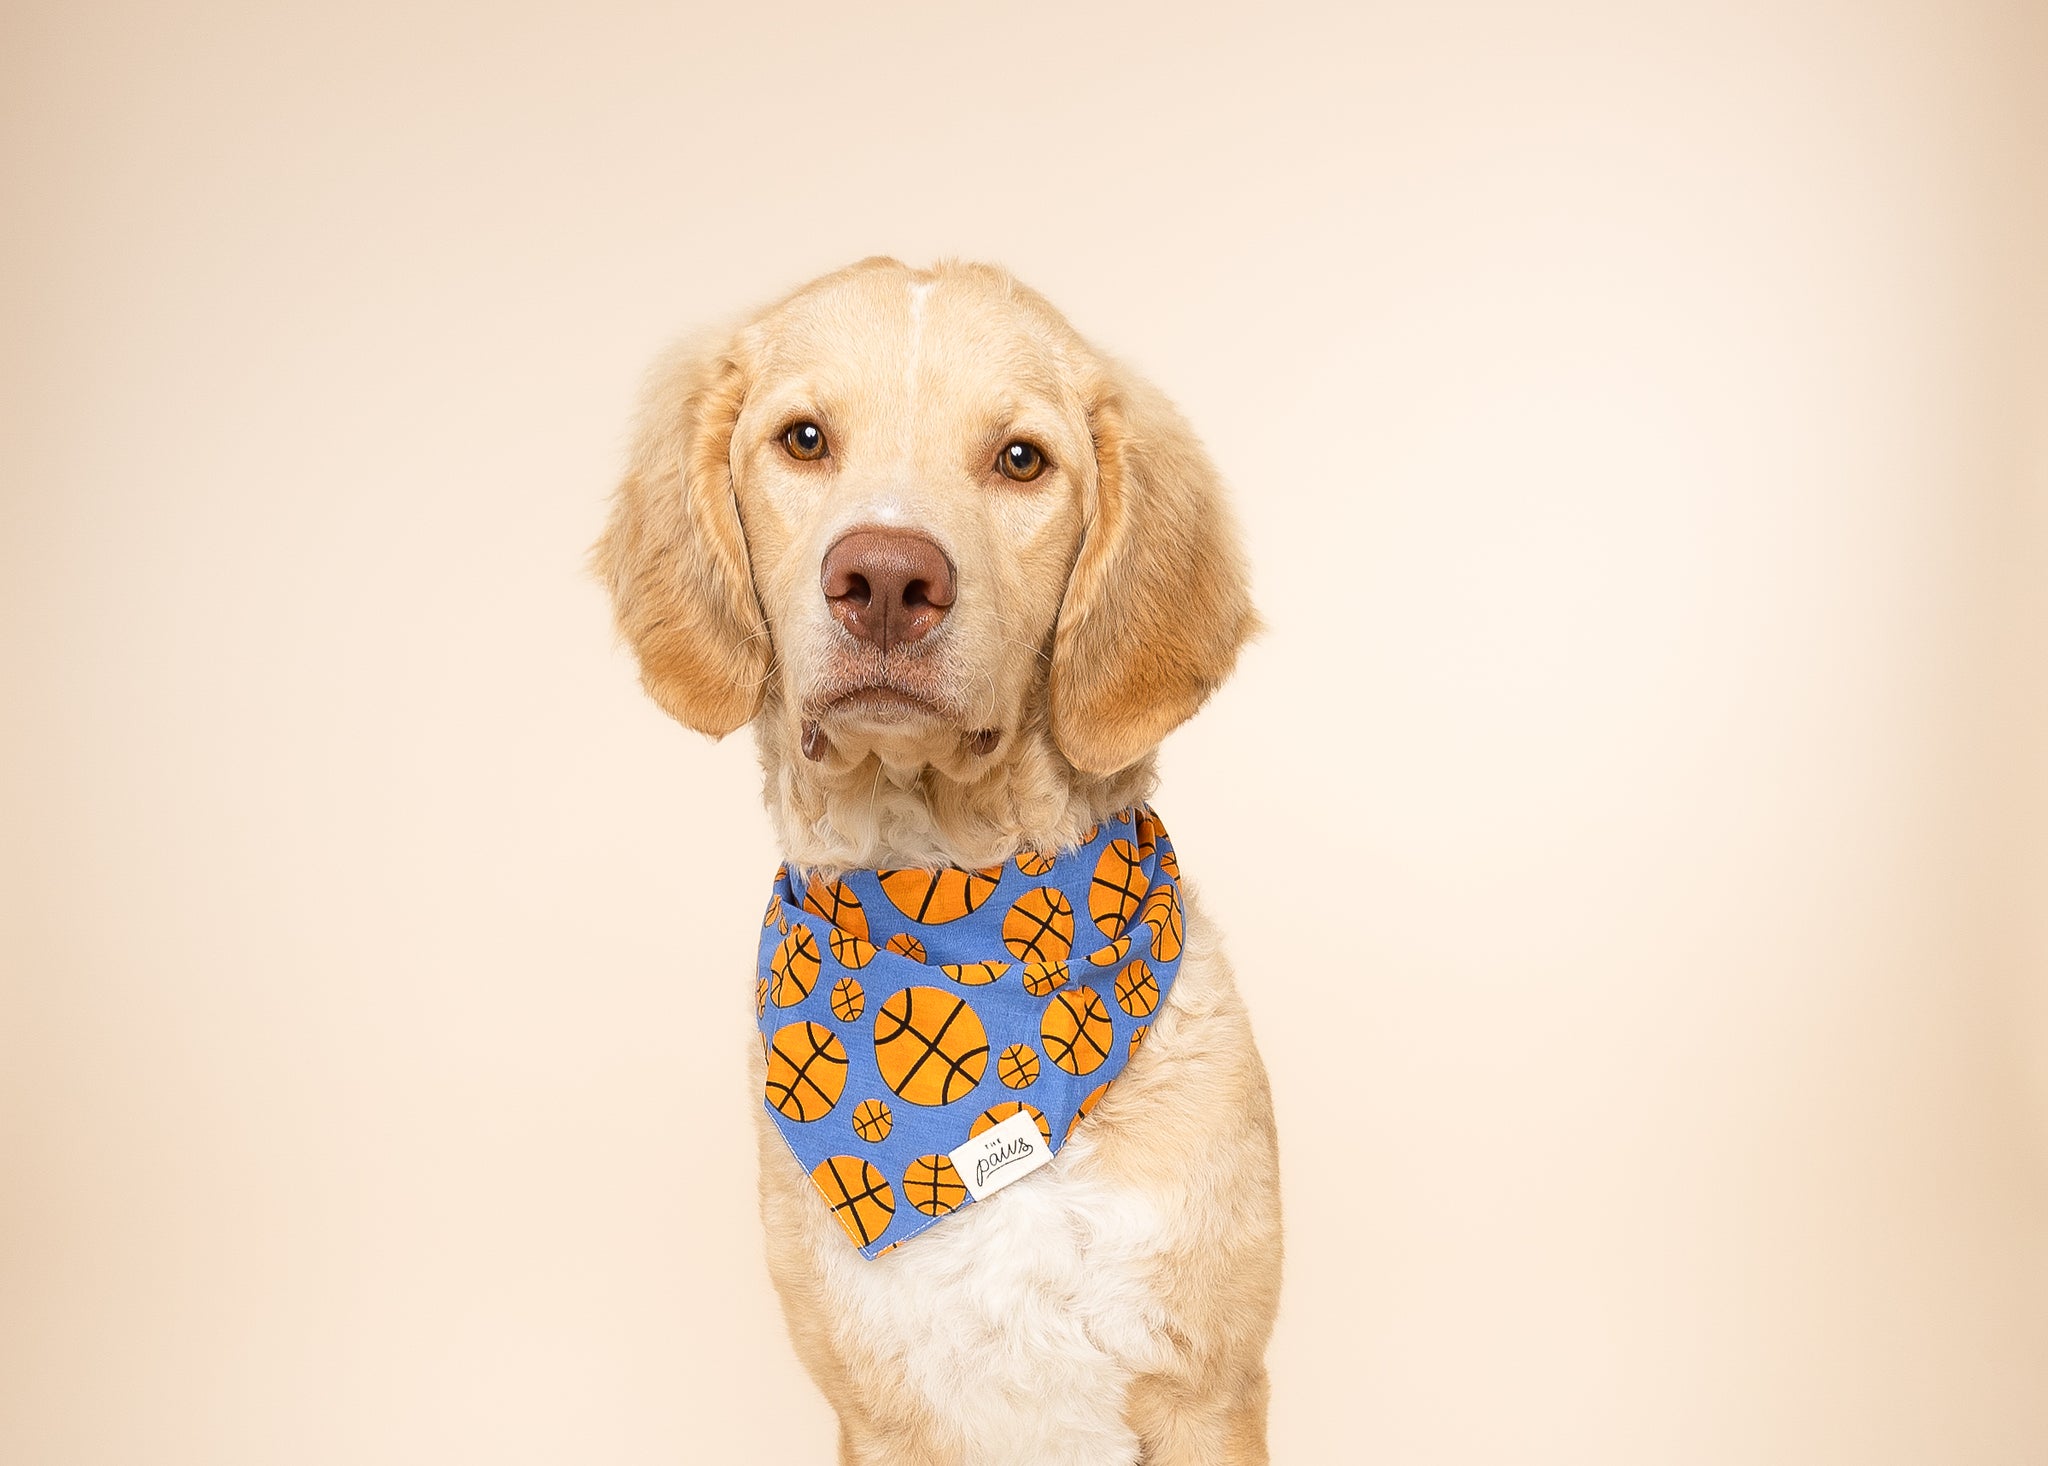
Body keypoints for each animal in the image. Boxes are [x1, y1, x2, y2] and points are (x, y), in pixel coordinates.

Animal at [593, 257, 1286, 1457]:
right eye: (804, 438)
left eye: (1020, 459)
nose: (883, 577)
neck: (949, 903)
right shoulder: (878, 1412)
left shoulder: (1208, 1392)